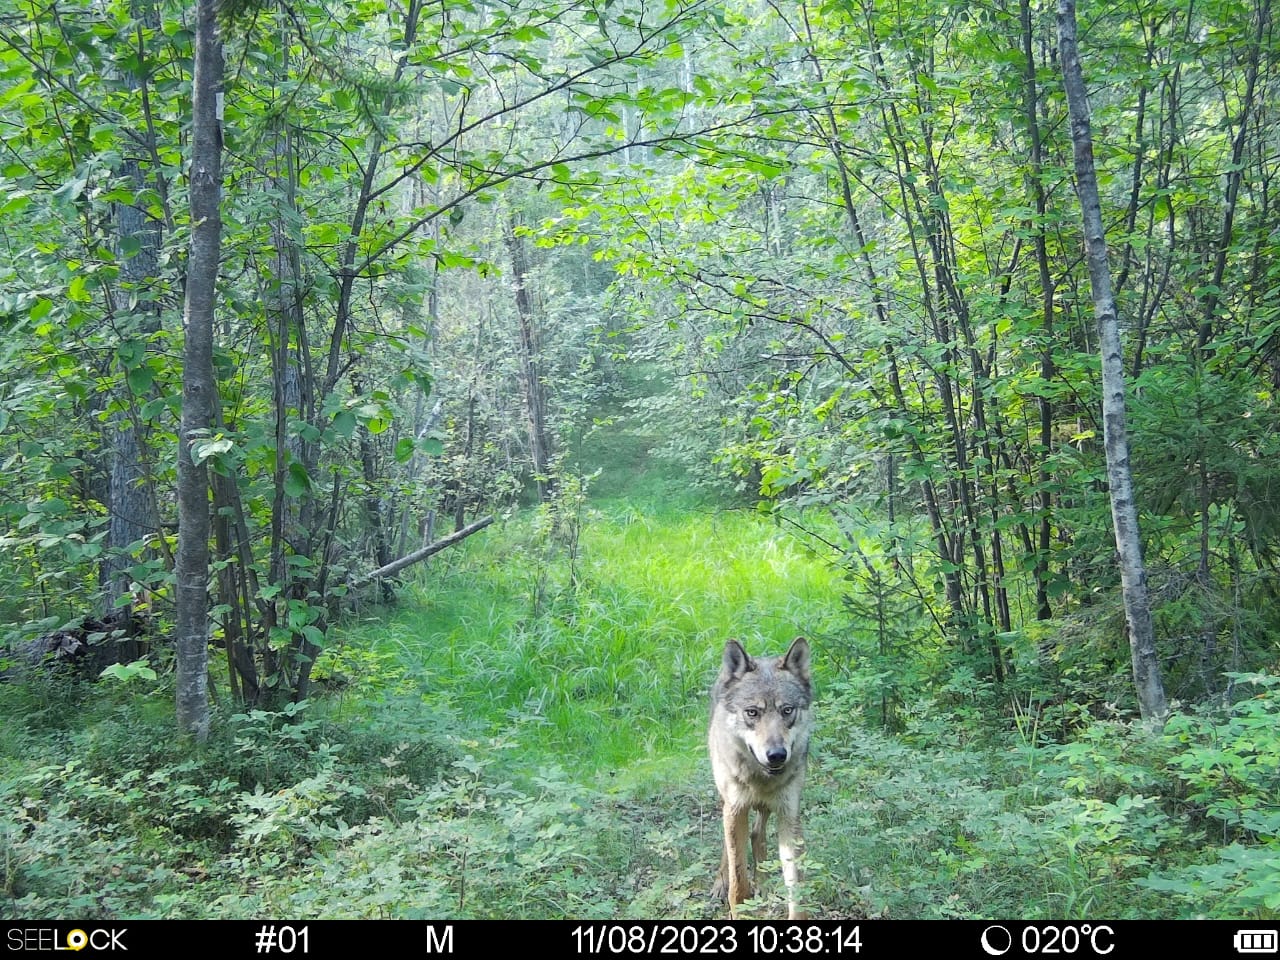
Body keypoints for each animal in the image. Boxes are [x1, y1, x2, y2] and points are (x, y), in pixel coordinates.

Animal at [711, 640, 808, 926]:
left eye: (787, 710)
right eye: (752, 713)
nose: (776, 754)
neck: (760, 780)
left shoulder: (789, 814)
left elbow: (796, 884)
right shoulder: (735, 810)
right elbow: (738, 881)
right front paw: (739, 905)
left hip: (768, 808)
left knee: (758, 834)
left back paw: (763, 883)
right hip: (725, 799)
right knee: (730, 846)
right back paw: (721, 882)